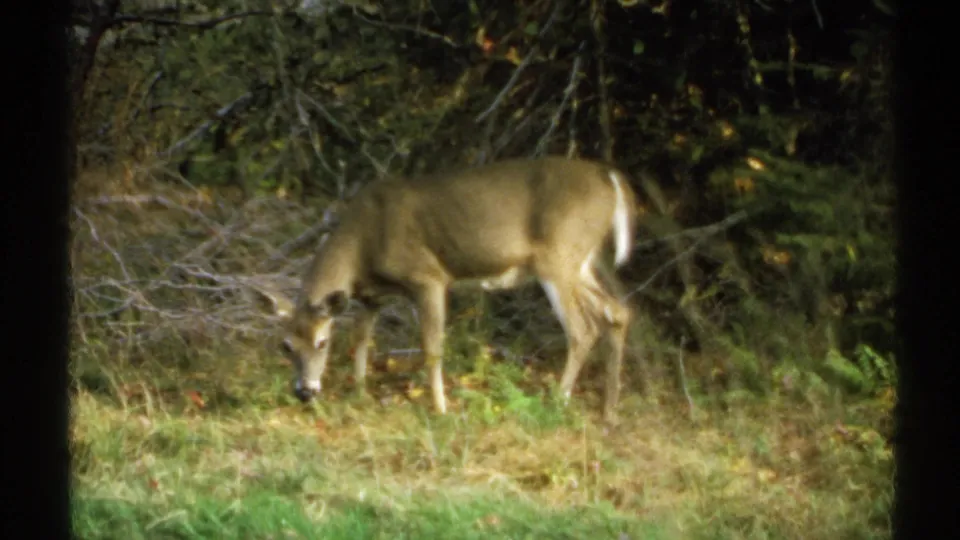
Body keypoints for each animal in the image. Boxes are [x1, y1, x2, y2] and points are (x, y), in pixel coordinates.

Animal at [256, 156, 639, 424]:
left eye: (322, 342)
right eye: (285, 345)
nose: (305, 392)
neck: (361, 247)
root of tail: (610, 178)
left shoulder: (428, 277)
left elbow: (432, 347)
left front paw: (440, 409)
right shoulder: (371, 297)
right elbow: (361, 341)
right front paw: (359, 394)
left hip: (558, 258)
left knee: (583, 328)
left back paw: (558, 401)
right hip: (582, 261)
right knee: (618, 311)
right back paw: (609, 411)